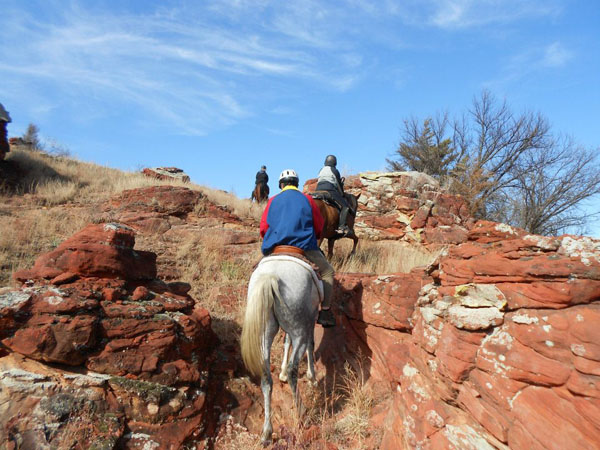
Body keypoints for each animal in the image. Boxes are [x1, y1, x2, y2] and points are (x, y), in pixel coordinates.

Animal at [240, 255, 324, 444]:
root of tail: (270, 277)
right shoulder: (310, 320)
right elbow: (311, 344)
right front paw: (312, 378)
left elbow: (286, 341)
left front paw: (282, 373)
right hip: (299, 329)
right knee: (295, 369)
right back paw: (302, 413)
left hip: (264, 334)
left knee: (265, 378)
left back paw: (266, 432)